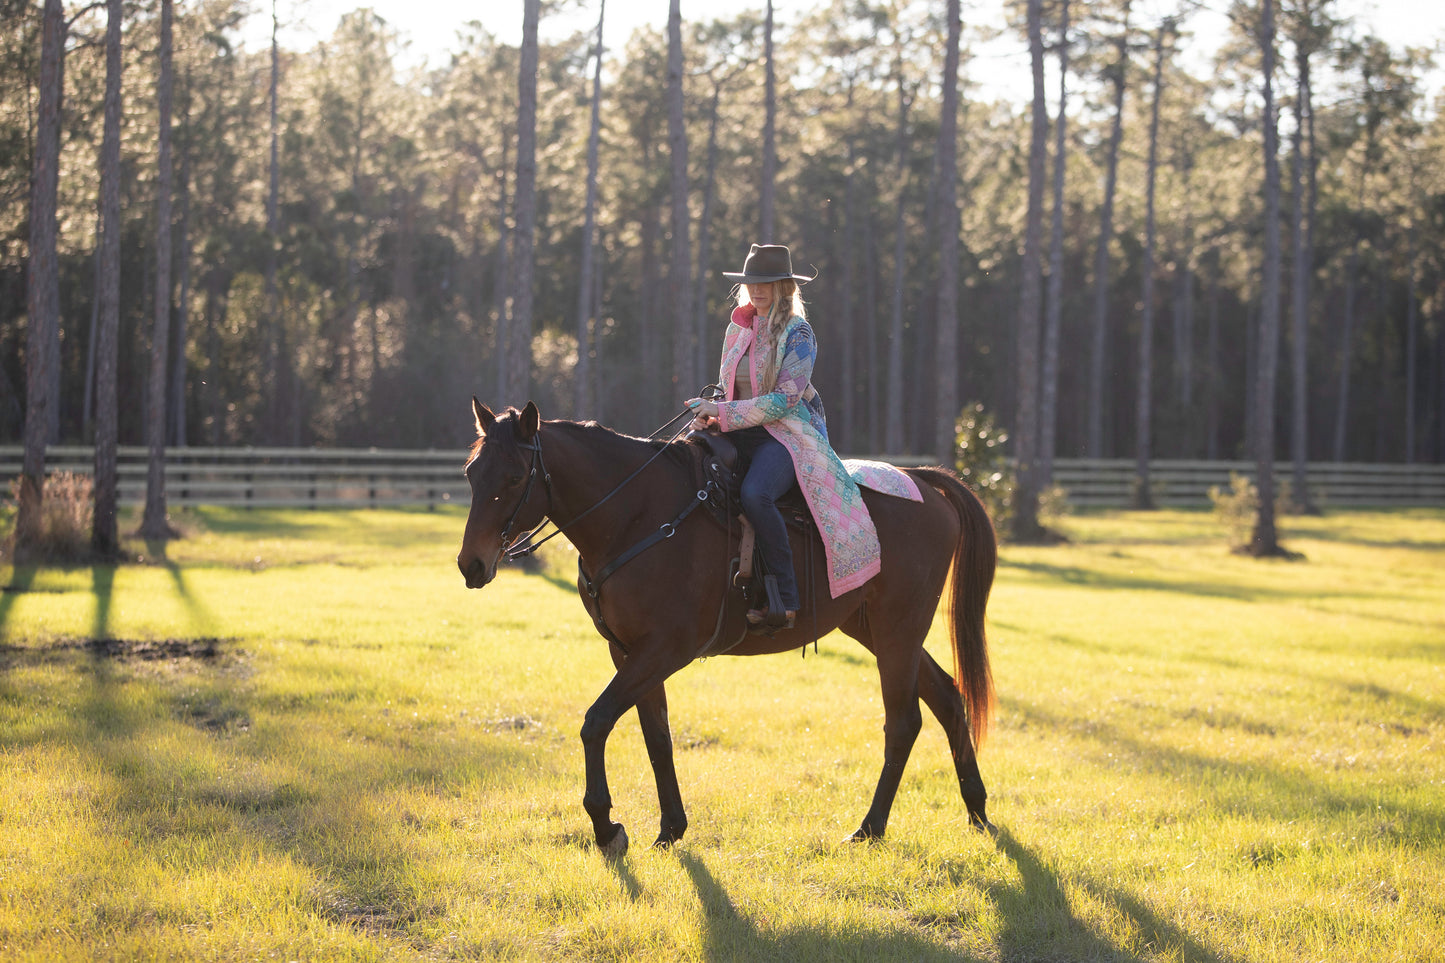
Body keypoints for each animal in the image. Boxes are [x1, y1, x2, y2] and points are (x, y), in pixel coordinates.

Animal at [456, 396, 999, 856]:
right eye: (471, 472)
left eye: (513, 476)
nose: (471, 564)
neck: (637, 516)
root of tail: (923, 482)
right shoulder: (628, 651)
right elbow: (657, 736)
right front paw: (669, 829)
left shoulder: (665, 649)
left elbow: (597, 722)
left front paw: (606, 826)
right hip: (875, 631)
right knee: (948, 696)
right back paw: (976, 810)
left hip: (898, 630)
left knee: (904, 722)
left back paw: (871, 827)